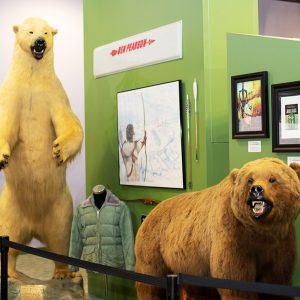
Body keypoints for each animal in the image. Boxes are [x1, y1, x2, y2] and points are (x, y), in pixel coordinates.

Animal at [0, 17, 83, 278]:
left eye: (46, 32)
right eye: (30, 31)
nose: (39, 42)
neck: (33, 80)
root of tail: (35, 229)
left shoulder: (55, 96)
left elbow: (70, 124)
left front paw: (59, 151)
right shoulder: (11, 97)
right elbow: (5, 126)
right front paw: (2, 156)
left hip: (61, 208)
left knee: (60, 240)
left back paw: (64, 273)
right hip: (9, 207)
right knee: (9, 240)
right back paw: (11, 273)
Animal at [135, 158, 300, 298]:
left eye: (272, 179)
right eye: (250, 179)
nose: (256, 189)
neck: (261, 230)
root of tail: (151, 212)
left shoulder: (281, 243)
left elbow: (277, 280)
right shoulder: (233, 235)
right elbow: (235, 280)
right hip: (153, 248)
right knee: (150, 285)